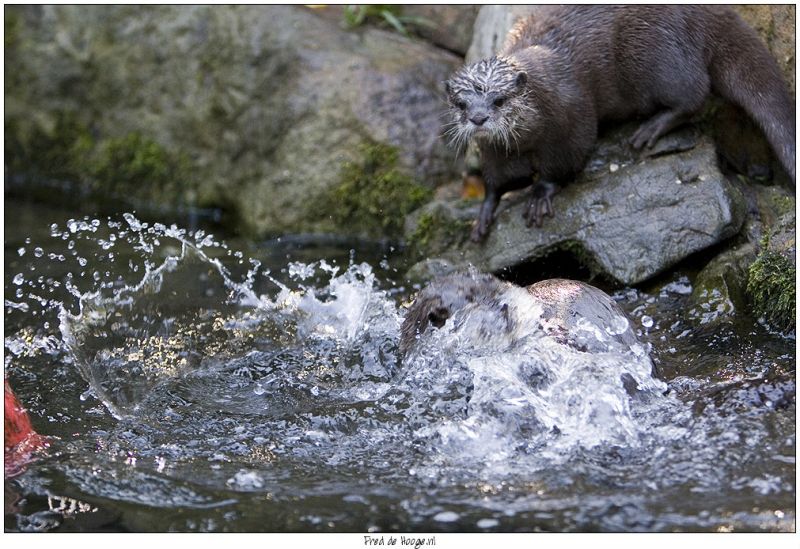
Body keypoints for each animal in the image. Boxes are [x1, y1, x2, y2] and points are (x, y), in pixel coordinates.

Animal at [446, 4, 796, 240]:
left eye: (500, 100)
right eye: (461, 103)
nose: (478, 117)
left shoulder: (571, 120)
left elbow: (567, 160)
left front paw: (540, 194)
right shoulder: (496, 153)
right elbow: (496, 181)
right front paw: (483, 214)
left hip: (653, 54)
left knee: (694, 93)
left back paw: (650, 129)